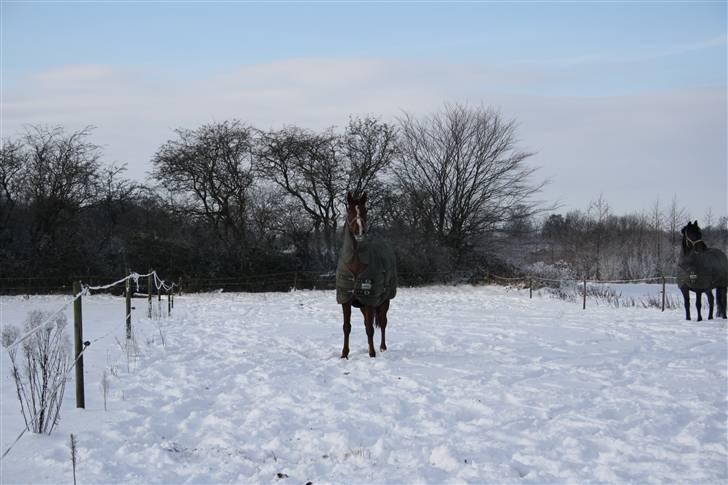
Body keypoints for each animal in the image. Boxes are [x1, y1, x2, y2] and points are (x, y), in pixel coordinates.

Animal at [336, 191, 398, 358]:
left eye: (364, 211)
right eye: (350, 211)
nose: (360, 232)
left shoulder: (370, 301)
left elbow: (370, 328)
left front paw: (372, 353)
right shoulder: (346, 300)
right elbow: (346, 327)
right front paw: (344, 354)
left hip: (384, 300)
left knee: (382, 322)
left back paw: (382, 347)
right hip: (362, 304)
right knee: (367, 322)